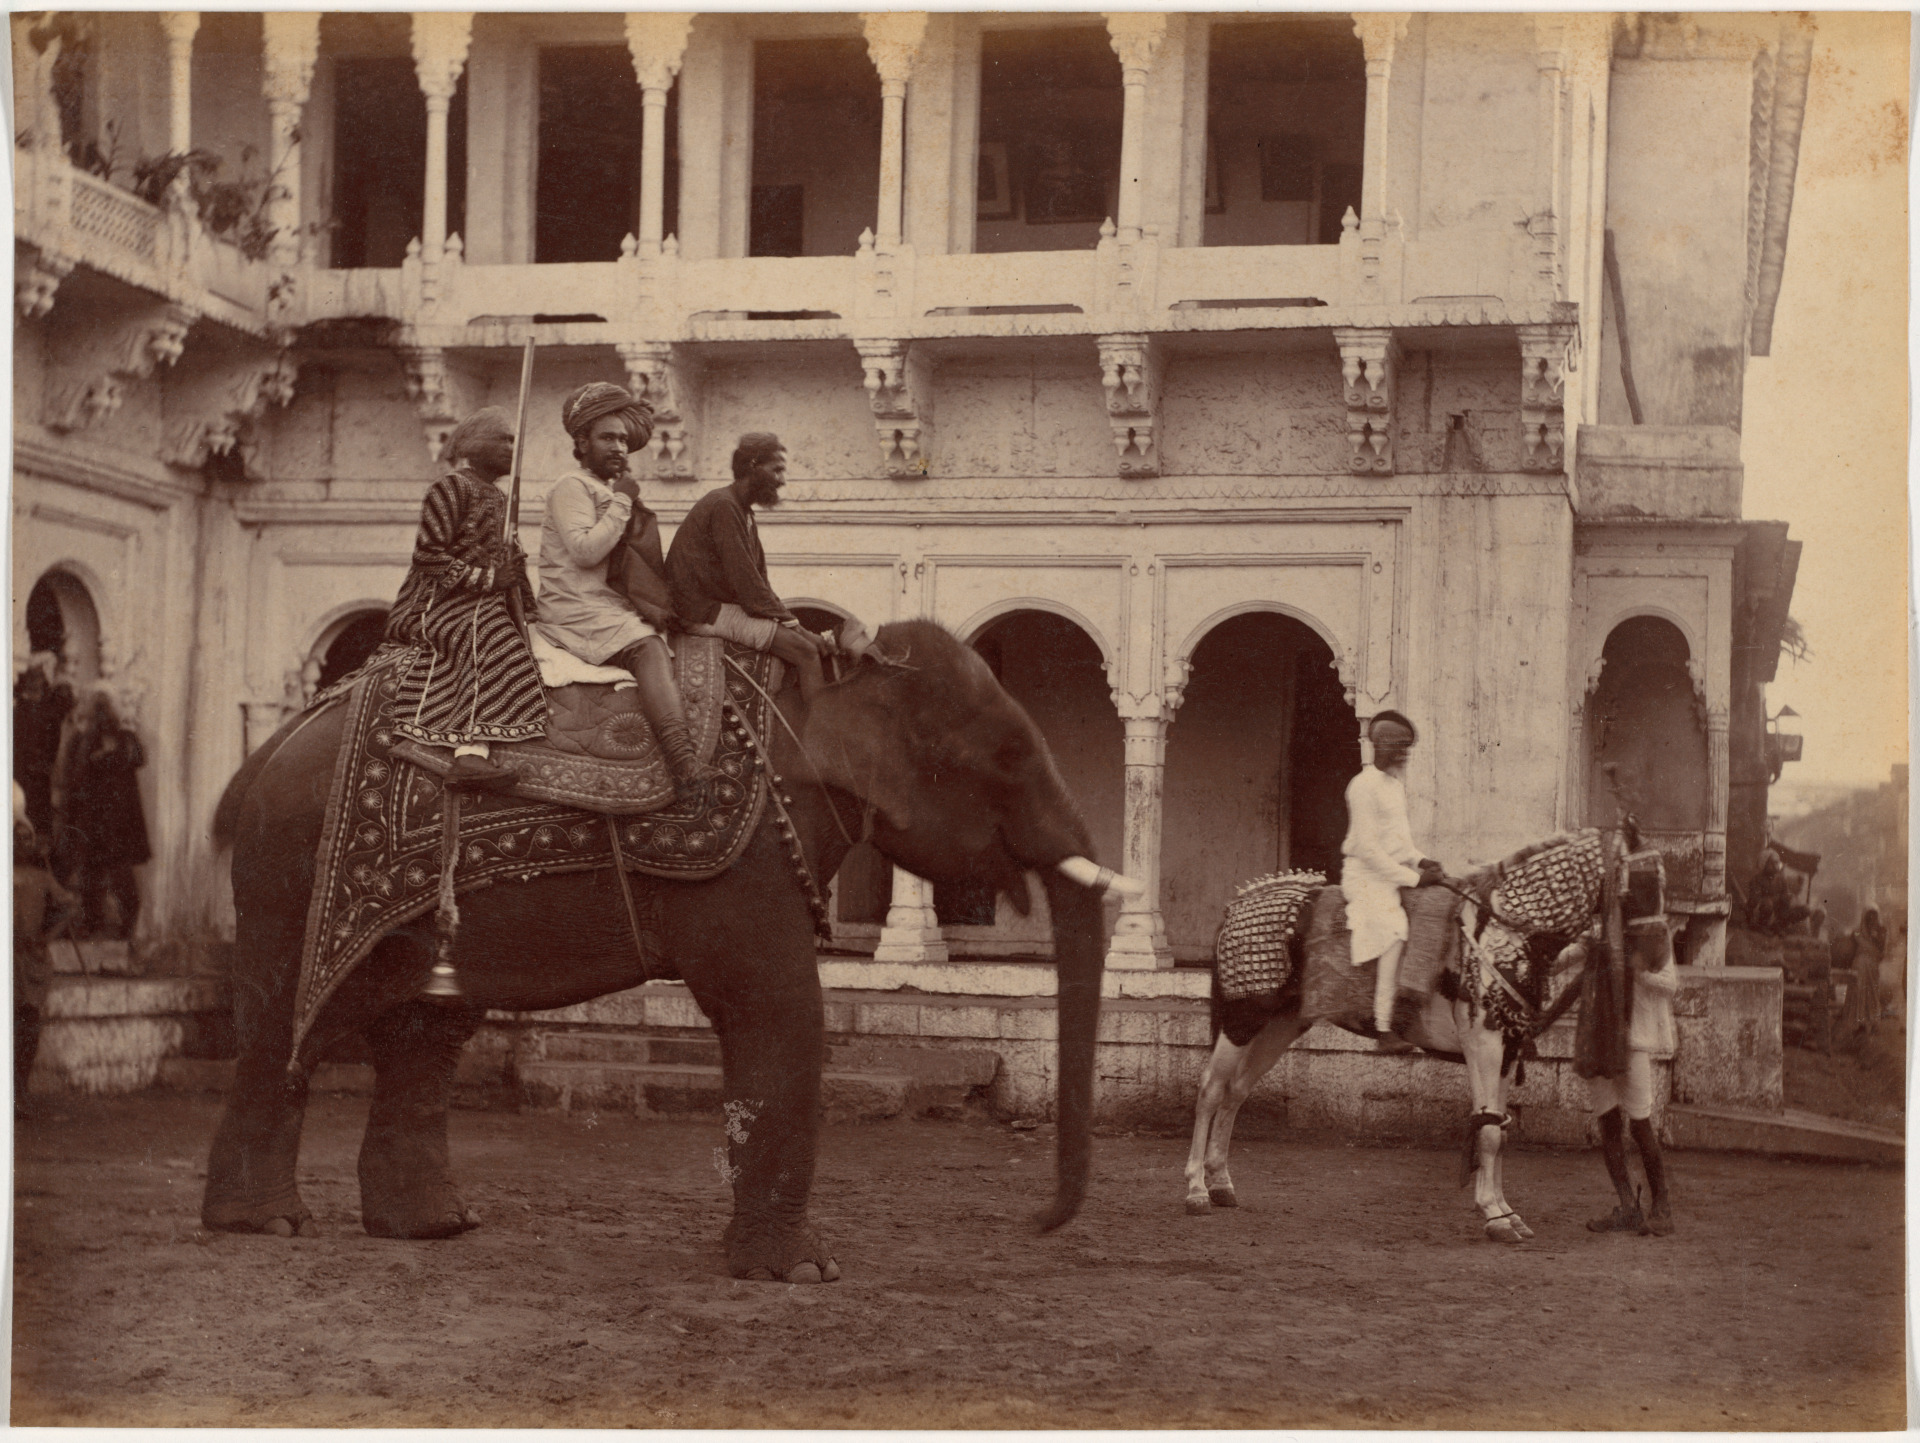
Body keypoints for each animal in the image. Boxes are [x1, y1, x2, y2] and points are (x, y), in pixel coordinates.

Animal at [201, 621, 1136, 1281]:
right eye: (1007, 755)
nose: (1034, 1223)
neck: (826, 673)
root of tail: (272, 746)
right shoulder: (745, 853)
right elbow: (777, 1003)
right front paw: (804, 1273)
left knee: (425, 1032)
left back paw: (432, 1228)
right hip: (289, 869)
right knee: (280, 1026)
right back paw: (268, 1224)